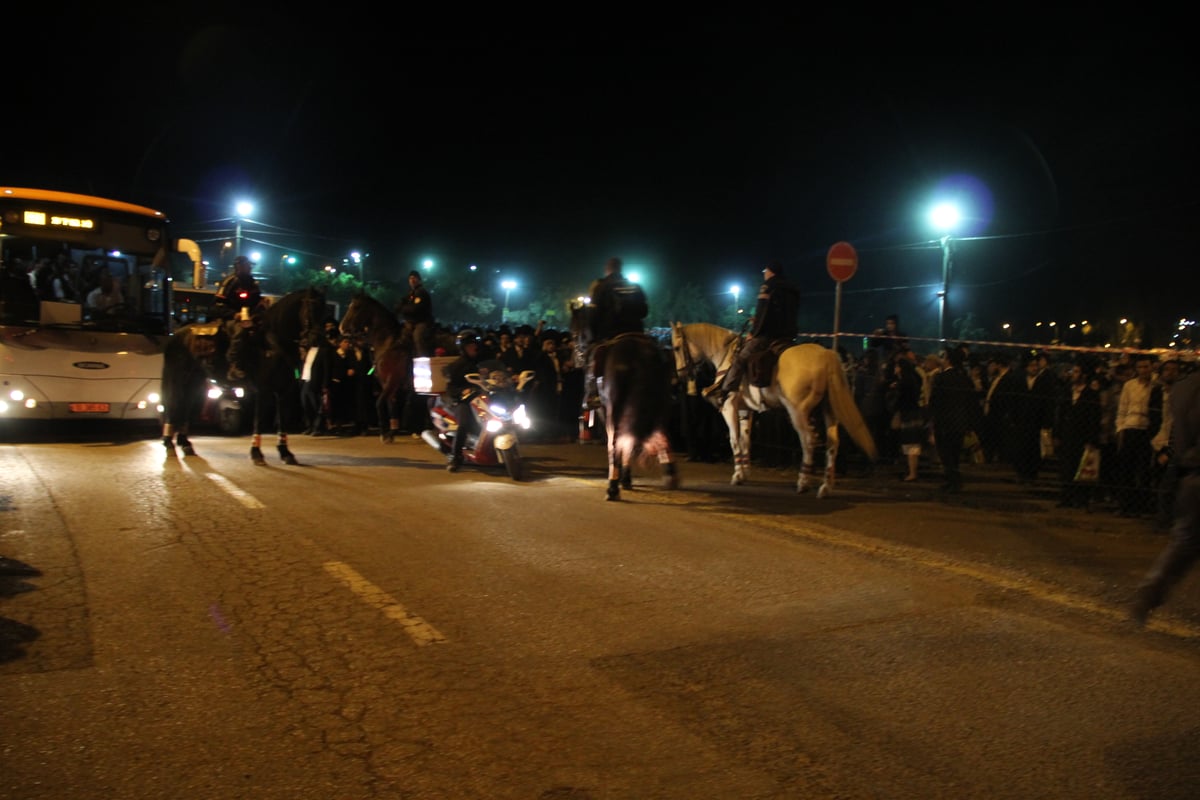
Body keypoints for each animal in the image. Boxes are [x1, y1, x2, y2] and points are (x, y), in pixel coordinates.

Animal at [163, 286, 328, 462]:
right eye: (311, 308)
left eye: (324, 309)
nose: (317, 339)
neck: (273, 344)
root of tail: (176, 334)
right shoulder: (263, 390)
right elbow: (258, 420)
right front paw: (256, 452)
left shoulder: (284, 391)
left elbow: (282, 420)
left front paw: (285, 452)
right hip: (177, 377)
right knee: (173, 403)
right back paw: (169, 444)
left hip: (195, 379)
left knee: (186, 405)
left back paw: (185, 444)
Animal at [338, 293, 412, 443]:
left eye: (356, 307)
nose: (341, 328)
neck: (389, 344)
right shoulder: (386, 383)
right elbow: (390, 404)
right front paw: (391, 432)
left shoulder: (392, 380)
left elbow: (379, 403)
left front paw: (384, 432)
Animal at [568, 304, 681, 501]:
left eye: (574, 333)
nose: (576, 360)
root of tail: (642, 355)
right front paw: (626, 478)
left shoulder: (604, 411)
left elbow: (617, 442)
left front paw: (621, 479)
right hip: (659, 408)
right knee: (660, 435)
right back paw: (670, 475)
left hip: (617, 409)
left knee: (616, 441)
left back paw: (612, 487)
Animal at [672, 321, 878, 496]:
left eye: (675, 348)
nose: (680, 377)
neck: (727, 357)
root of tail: (826, 355)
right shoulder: (745, 410)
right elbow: (745, 440)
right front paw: (745, 472)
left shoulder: (729, 408)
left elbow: (734, 440)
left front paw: (737, 475)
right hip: (828, 410)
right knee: (832, 443)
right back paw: (826, 486)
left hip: (798, 412)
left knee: (808, 441)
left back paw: (803, 482)